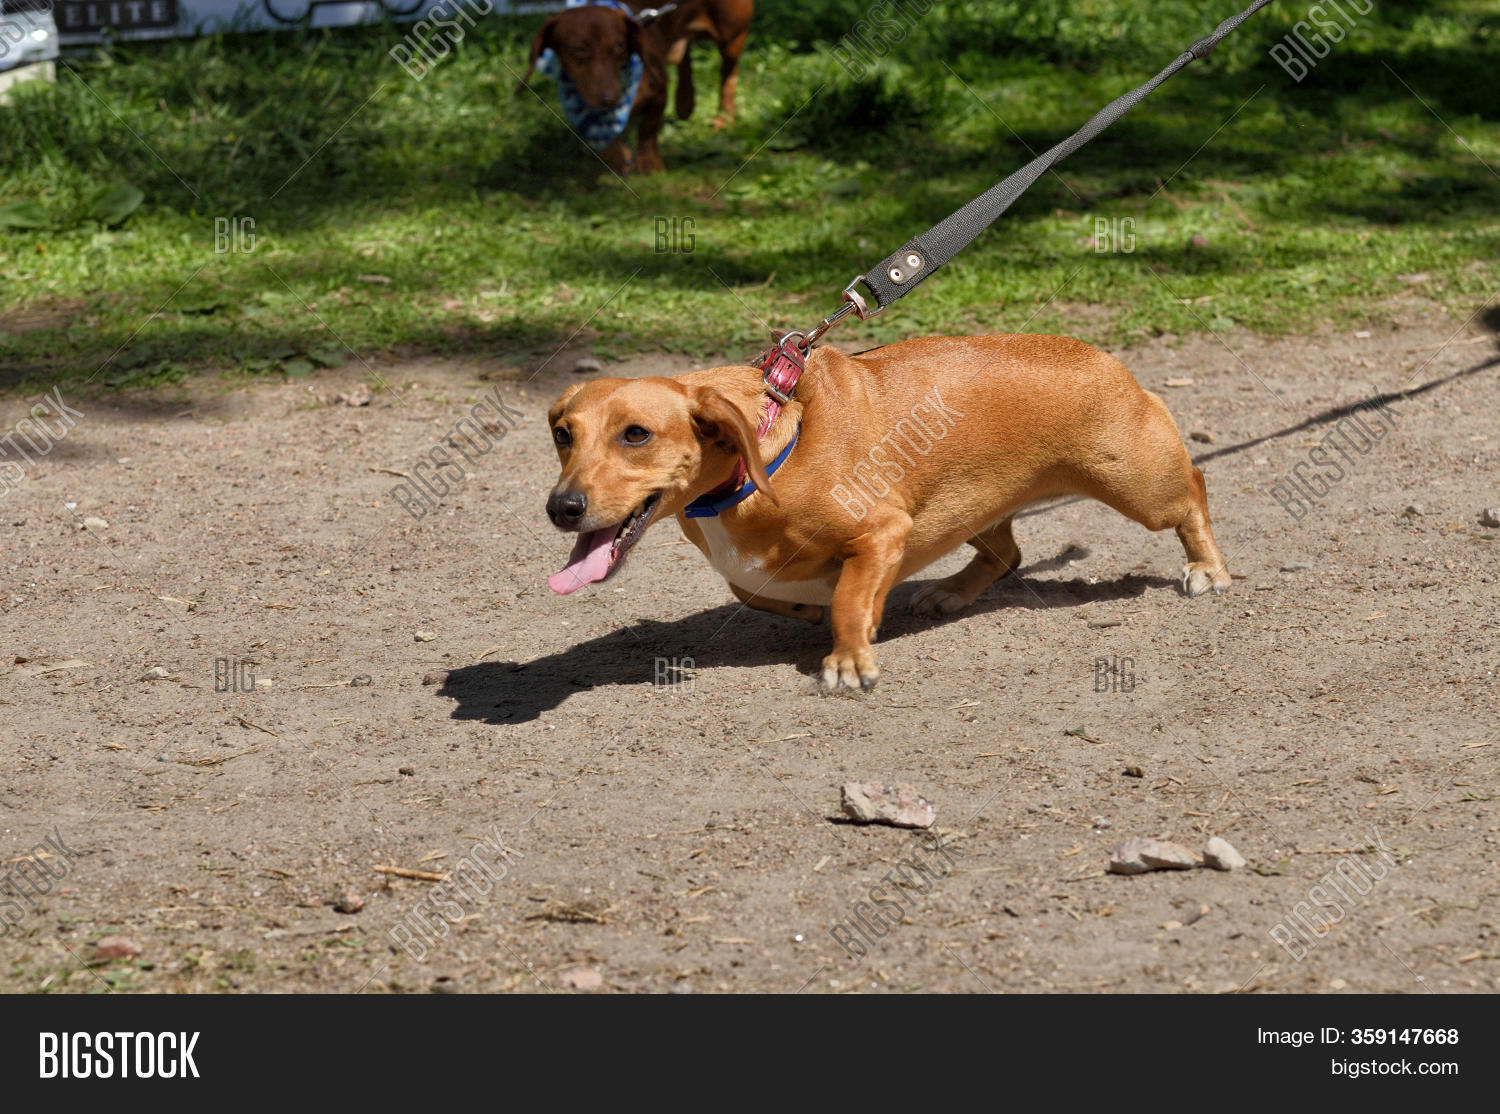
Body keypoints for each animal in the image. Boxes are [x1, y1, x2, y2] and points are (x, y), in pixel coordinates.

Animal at [516, 0, 754, 173]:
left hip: (731, 35)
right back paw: (685, 103)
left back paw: (724, 118)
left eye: (620, 44)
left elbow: (648, 128)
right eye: (579, 49)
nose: (610, 98)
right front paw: (617, 156)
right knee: (684, 57)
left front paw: (650, 163)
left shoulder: (659, 91)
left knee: (728, 73)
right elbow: (605, 136)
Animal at [544, 334, 1232, 690]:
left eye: (636, 434)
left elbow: (850, 598)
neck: (770, 447)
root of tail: (1101, 356)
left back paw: (1208, 568)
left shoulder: (881, 531)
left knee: (1194, 492)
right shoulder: (758, 569)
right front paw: (815, 610)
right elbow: (757, 590)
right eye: (562, 434)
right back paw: (953, 592)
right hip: (971, 506)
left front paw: (850, 656)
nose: (561, 508)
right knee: (1007, 554)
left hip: (1141, 489)